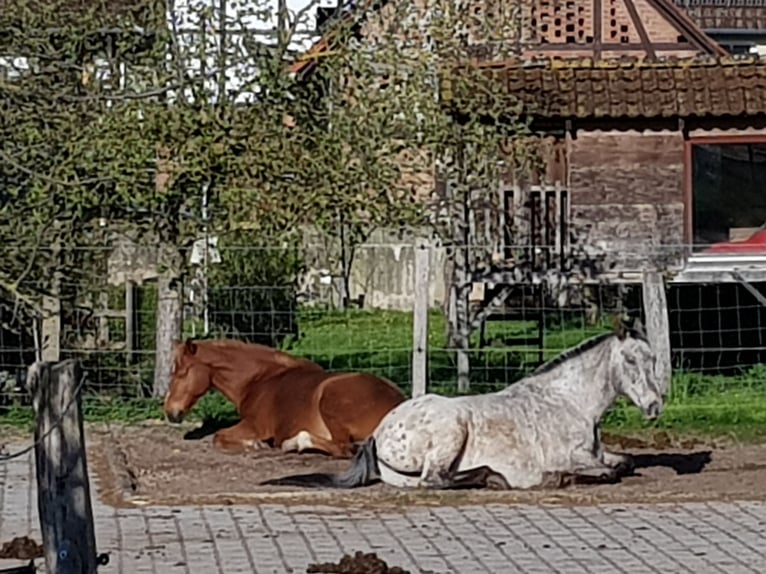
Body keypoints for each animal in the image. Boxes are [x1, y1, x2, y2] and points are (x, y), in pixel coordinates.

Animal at [160, 342, 404, 460]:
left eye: (181, 372)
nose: (170, 411)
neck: (260, 379)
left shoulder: (255, 425)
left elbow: (218, 437)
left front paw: (255, 445)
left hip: (330, 401)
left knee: (343, 448)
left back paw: (294, 443)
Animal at [264, 320, 664, 490]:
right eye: (631, 360)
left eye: (653, 359)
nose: (655, 406)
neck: (567, 402)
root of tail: (380, 432)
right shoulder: (574, 456)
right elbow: (608, 471)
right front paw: (560, 476)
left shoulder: (600, 452)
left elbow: (623, 463)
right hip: (450, 431)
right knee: (436, 479)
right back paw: (496, 478)